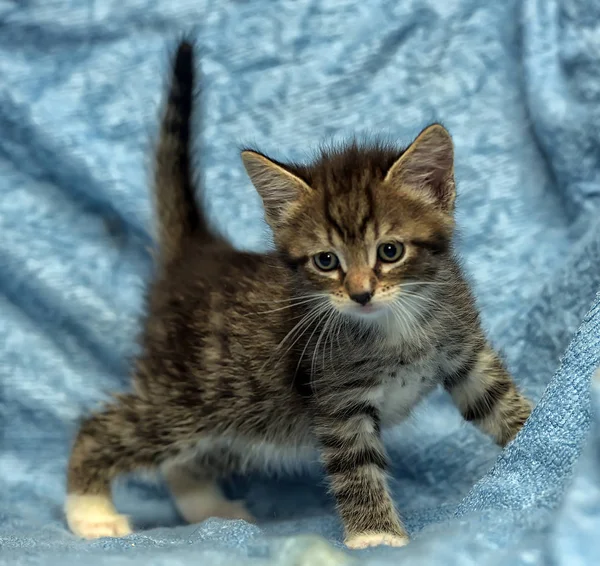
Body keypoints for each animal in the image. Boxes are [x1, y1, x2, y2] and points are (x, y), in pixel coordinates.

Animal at [65, 40, 532, 552]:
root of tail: (199, 253)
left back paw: (206, 508)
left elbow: (497, 402)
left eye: (390, 251)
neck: (396, 323)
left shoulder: (464, 349)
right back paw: (89, 511)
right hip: (191, 395)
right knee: (106, 429)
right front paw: (376, 536)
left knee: (186, 461)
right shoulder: (336, 399)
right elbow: (355, 467)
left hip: (246, 416)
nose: (361, 293)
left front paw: (542, 431)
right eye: (326, 261)